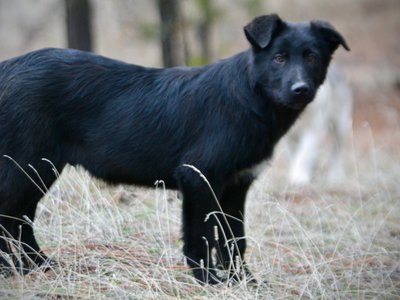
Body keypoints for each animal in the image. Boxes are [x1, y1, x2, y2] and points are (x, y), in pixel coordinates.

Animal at [0, 14, 348, 284]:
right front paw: (209, 281)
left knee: (21, 221)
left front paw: (244, 282)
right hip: (26, 165)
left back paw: (40, 265)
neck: (250, 97)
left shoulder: (236, 186)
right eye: (278, 57)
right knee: (9, 217)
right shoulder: (198, 178)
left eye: (312, 57)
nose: (300, 89)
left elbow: (235, 240)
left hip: (39, 169)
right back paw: (11, 270)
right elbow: (201, 238)